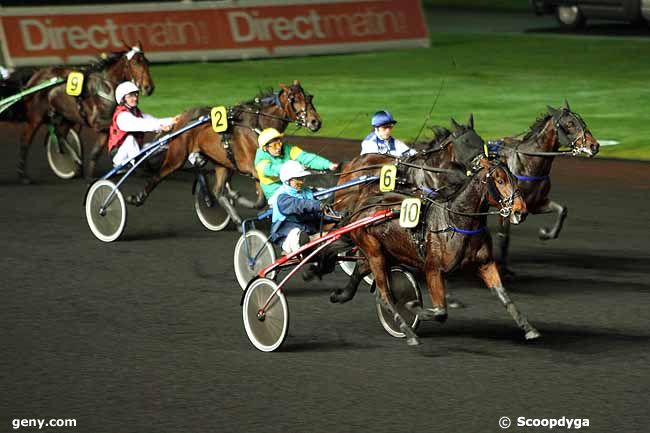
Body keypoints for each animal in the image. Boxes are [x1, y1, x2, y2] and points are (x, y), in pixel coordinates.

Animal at [19, 41, 154, 181]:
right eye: (135, 63)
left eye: (147, 62)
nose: (149, 88)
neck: (106, 89)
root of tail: (36, 75)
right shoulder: (99, 123)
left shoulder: (104, 128)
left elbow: (96, 152)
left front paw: (90, 176)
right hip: (35, 117)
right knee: (25, 141)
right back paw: (23, 176)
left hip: (67, 116)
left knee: (60, 135)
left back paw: (77, 162)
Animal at [124, 79, 318, 224]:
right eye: (293, 99)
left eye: (309, 97)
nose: (316, 122)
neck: (259, 125)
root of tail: (182, 117)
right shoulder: (255, 169)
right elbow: (260, 199)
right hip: (177, 156)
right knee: (158, 176)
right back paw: (137, 198)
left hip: (221, 162)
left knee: (217, 191)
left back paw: (235, 216)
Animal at [344, 155, 532, 344]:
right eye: (500, 181)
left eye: (515, 179)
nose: (520, 212)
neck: (455, 221)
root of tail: (362, 206)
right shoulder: (433, 269)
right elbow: (440, 312)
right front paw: (413, 306)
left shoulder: (485, 263)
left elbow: (504, 296)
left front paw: (528, 328)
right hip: (375, 254)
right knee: (384, 296)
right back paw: (409, 333)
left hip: (385, 253)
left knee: (361, 269)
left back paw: (342, 295)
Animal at [488, 102, 600, 270]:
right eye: (570, 124)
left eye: (582, 121)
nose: (594, 146)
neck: (528, 161)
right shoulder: (507, 207)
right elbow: (504, 237)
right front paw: (503, 267)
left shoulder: (536, 203)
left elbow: (562, 210)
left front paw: (546, 233)